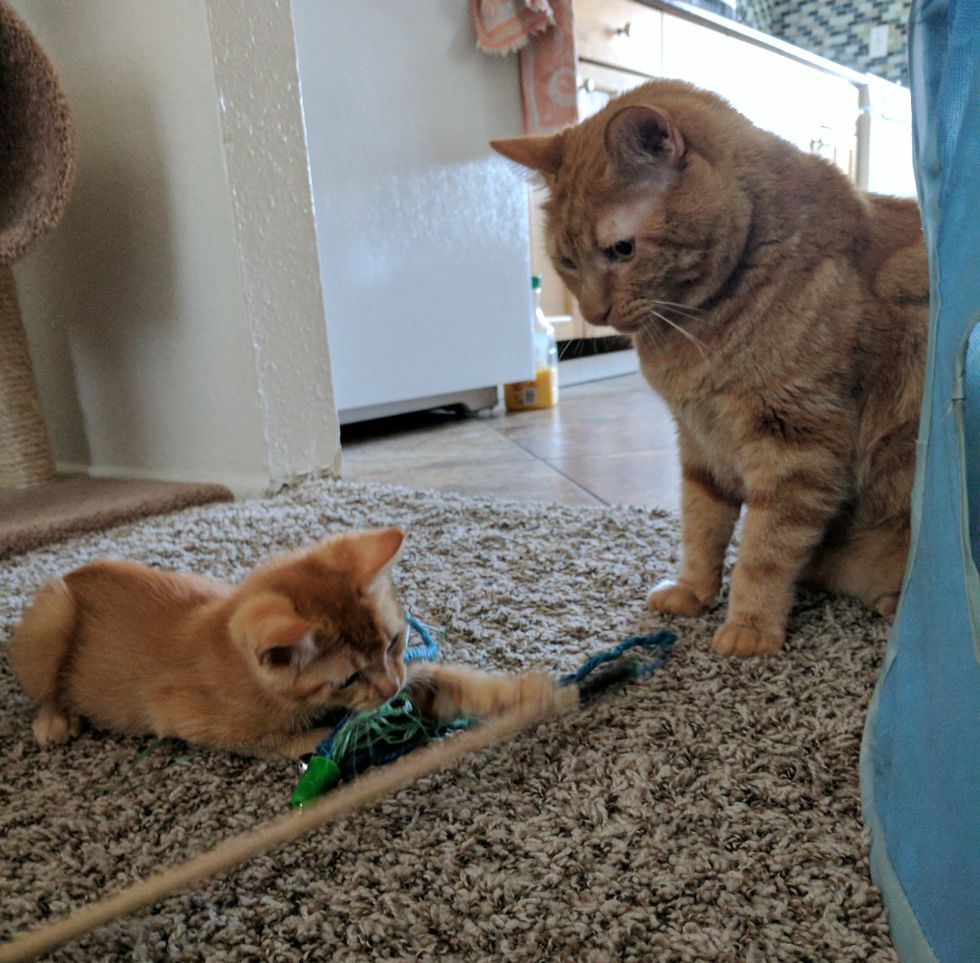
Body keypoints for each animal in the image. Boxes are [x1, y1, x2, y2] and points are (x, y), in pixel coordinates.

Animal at [10, 528, 556, 756]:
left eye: (394, 643)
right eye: (347, 679)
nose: (390, 688)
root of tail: (73, 574)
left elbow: (453, 683)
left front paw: (521, 693)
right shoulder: (178, 716)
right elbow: (277, 743)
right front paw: (330, 739)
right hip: (53, 613)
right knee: (41, 690)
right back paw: (54, 719)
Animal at [492, 79, 928, 657]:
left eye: (622, 249)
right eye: (565, 260)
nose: (592, 313)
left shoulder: (798, 451)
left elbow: (764, 550)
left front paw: (750, 628)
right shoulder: (700, 444)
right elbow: (701, 526)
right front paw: (693, 592)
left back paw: (894, 604)